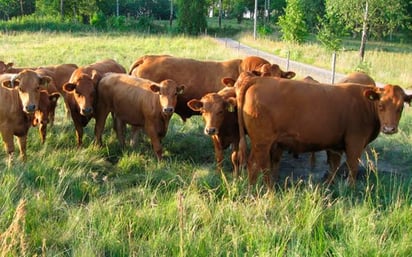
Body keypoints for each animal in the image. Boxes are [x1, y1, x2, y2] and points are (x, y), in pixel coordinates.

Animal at [235, 71, 412, 187]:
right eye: (381, 105)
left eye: (400, 107)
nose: (389, 128)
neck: (365, 104)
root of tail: (259, 81)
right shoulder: (355, 142)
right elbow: (352, 167)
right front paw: (350, 189)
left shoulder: (336, 145)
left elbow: (334, 167)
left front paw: (327, 186)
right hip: (262, 142)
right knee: (256, 165)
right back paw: (259, 192)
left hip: (263, 143)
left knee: (260, 165)